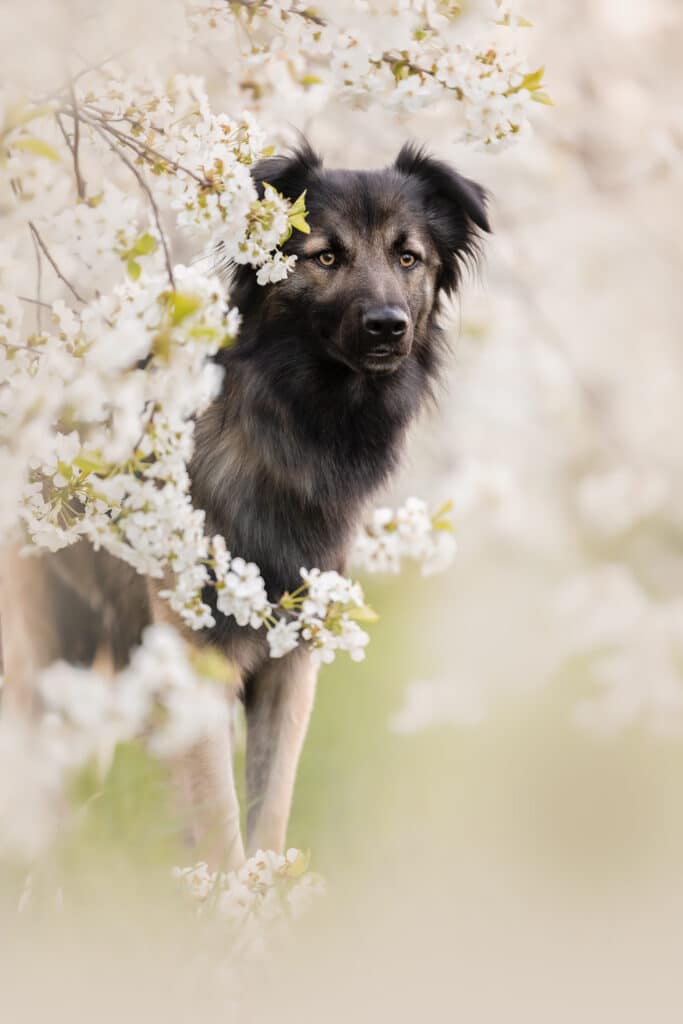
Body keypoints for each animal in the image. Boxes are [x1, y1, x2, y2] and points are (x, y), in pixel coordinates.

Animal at [1, 142, 491, 864]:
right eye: (325, 256)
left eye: (408, 258)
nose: (387, 329)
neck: (292, 427)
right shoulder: (195, 662)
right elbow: (221, 829)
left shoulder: (291, 665)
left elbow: (269, 814)